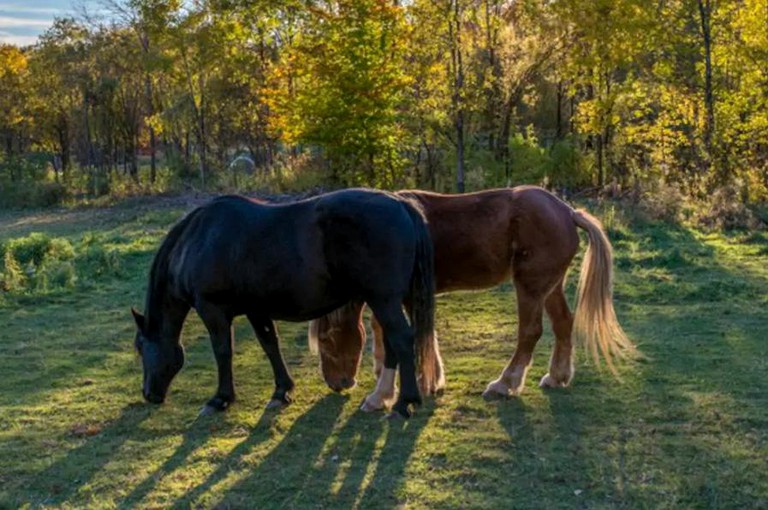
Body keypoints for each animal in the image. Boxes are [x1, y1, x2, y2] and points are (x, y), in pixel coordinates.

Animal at [129, 189, 436, 416]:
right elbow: (270, 345)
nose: (149, 394)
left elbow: (223, 351)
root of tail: (399, 203)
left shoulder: (212, 310)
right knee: (393, 342)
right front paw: (282, 391)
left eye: (142, 348)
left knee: (402, 339)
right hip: (385, 301)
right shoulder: (256, 309)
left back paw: (404, 402)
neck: (198, 240)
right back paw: (385, 398)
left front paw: (220, 399)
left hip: (383, 300)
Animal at [308, 185, 632, 408]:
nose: (337, 384)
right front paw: (427, 381)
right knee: (563, 323)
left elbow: (405, 335)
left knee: (530, 332)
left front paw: (401, 388)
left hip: (530, 287)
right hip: (550, 287)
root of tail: (568, 212)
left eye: (325, 339)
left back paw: (505, 384)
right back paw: (557, 377)